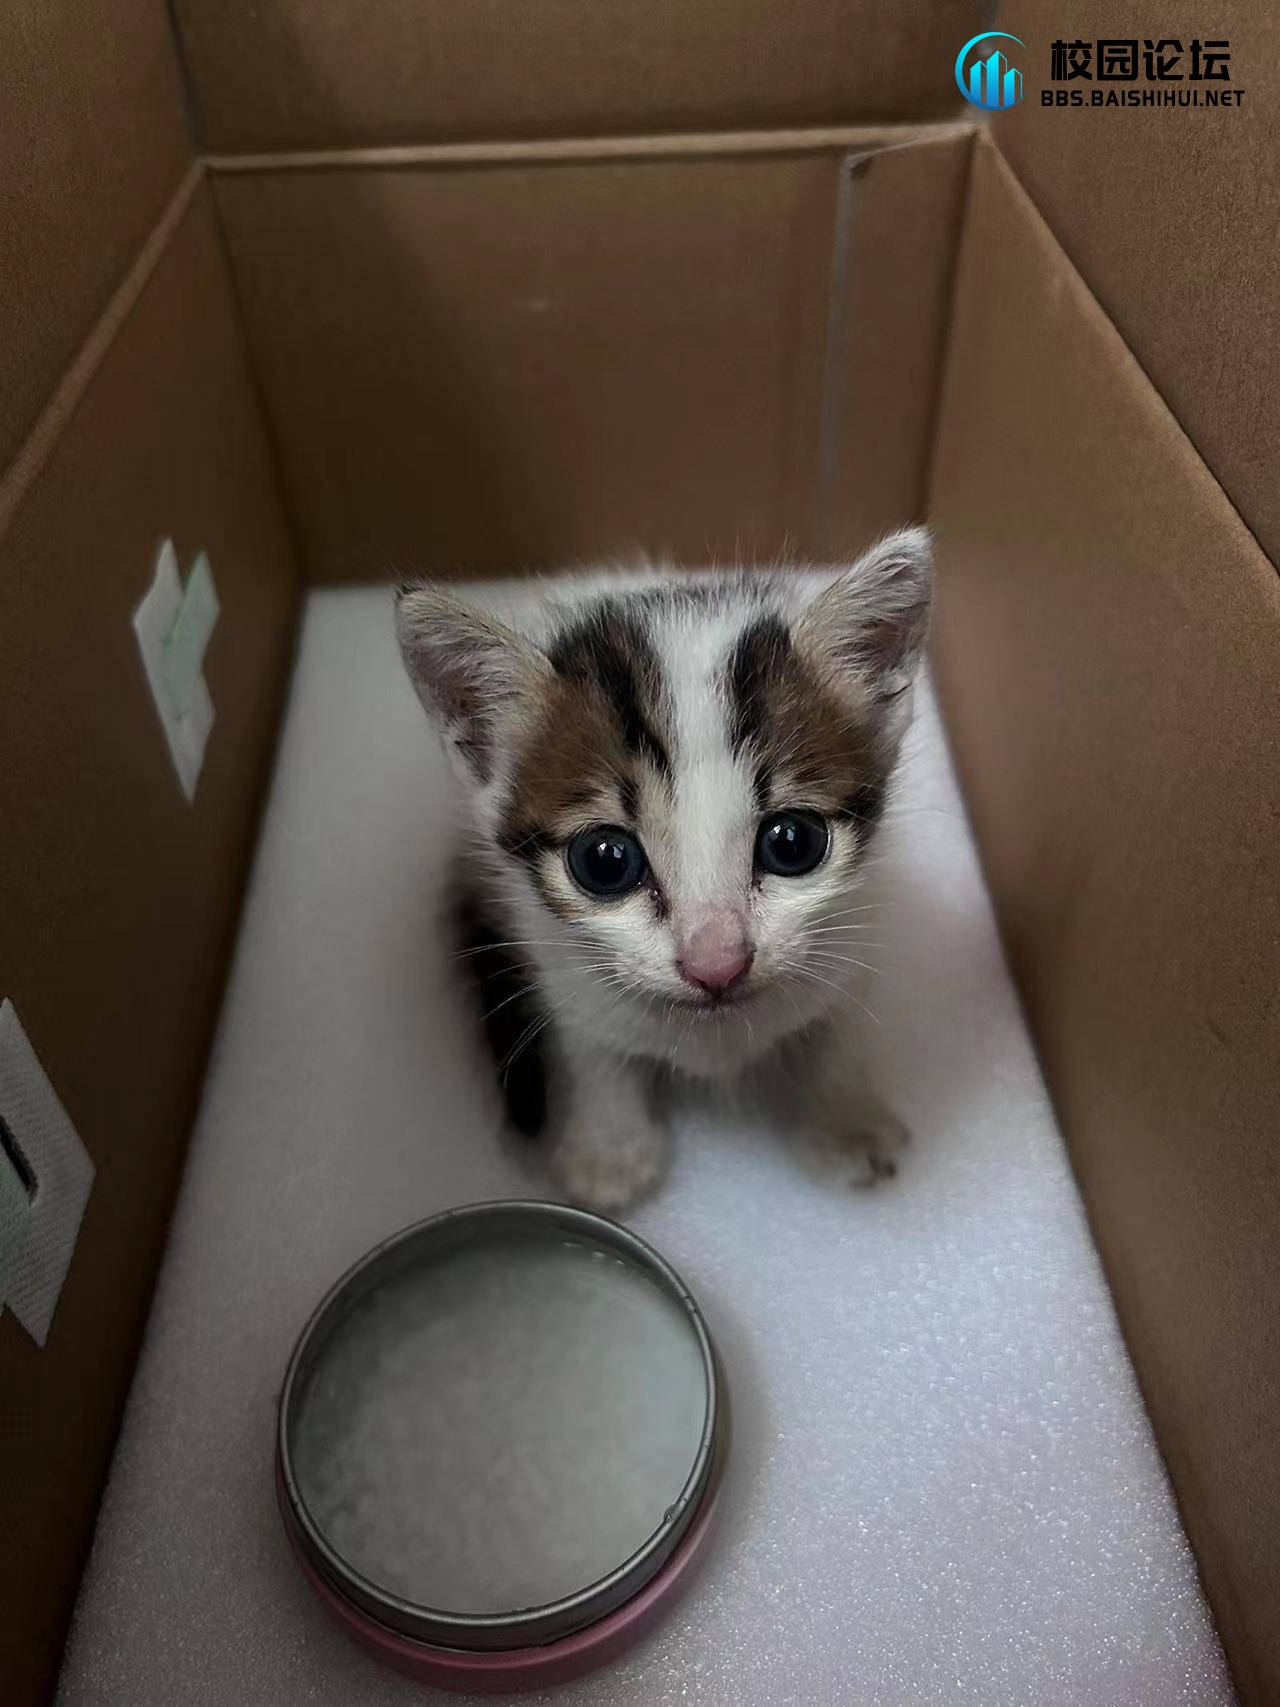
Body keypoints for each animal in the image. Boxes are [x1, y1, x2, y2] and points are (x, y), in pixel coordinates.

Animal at [399, 532, 935, 1215]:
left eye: (794, 843)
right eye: (604, 861)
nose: (717, 964)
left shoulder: (852, 938)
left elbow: (834, 1028)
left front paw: (846, 1119)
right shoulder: (558, 963)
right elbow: (592, 1045)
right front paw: (612, 1151)